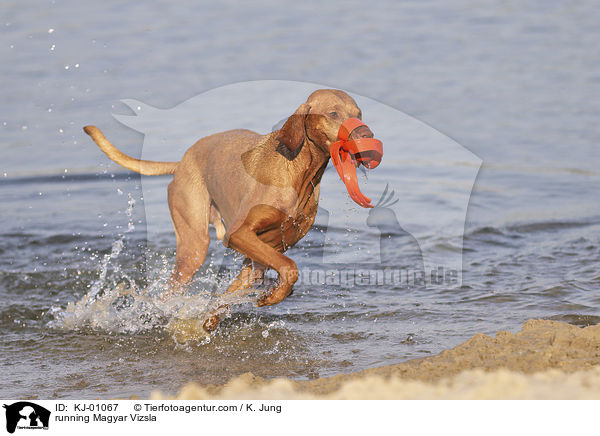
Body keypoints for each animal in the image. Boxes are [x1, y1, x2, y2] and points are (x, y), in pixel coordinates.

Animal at [85, 90, 376, 332]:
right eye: (333, 114)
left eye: (359, 113)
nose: (366, 134)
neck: (298, 174)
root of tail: (181, 163)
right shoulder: (239, 234)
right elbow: (290, 267)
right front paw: (272, 295)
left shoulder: (265, 249)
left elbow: (233, 293)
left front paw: (256, 301)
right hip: (194, 245)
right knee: (170, 291)